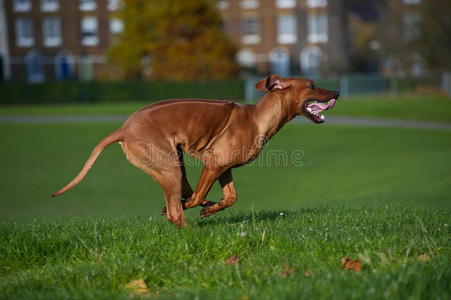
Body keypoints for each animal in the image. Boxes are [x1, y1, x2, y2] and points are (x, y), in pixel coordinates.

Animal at [52, 75, 340, 225]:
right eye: (312, 86)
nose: (337, 91)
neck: (258, 118)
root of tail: (122, 128)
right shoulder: (214, 164)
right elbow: (201, 194)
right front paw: (198, 206)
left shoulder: (224, 167)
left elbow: (231, 197)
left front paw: (211, 208)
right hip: (169, 168)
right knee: (177, 213)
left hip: (174, 161)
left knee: (185, 194)